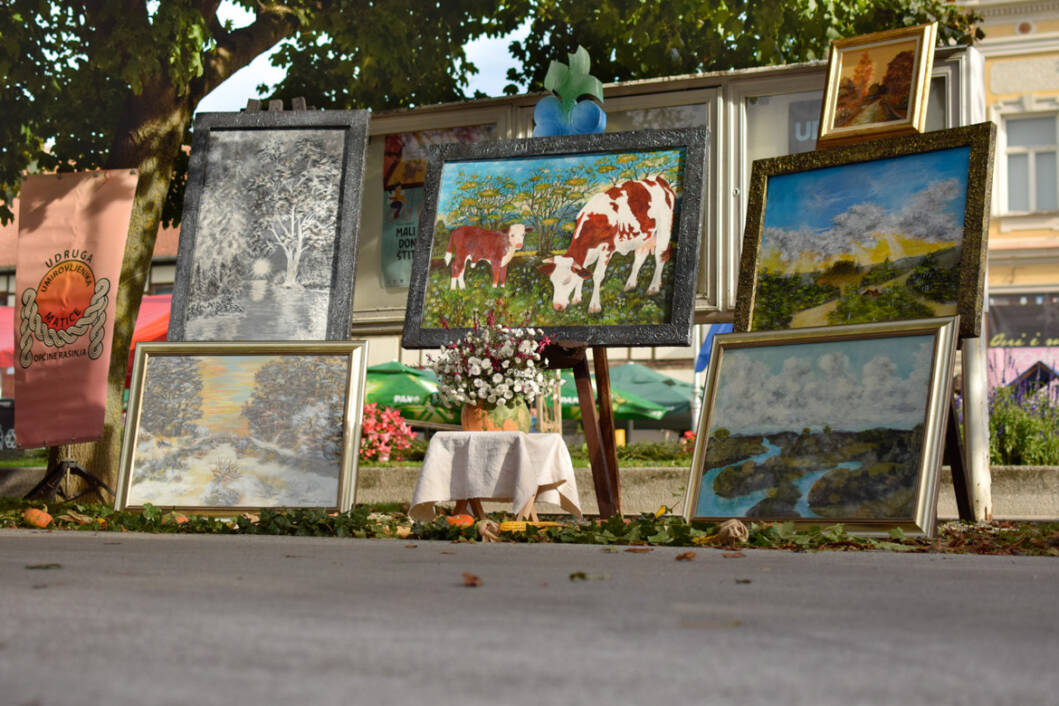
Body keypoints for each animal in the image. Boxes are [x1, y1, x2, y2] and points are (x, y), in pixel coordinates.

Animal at [537, 175, 677, 313]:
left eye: (567, 281)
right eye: (552, 281)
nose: (557, 306)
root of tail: (659, 179)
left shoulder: (607, 248)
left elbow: (597, 275)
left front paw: (594, 306)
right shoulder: (588, 253)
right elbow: (582, 274)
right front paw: (577, 298)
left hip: (664, 228)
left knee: (660, 256)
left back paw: (653, 287)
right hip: (644, 236)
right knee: (640, 257)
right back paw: (630, 284)